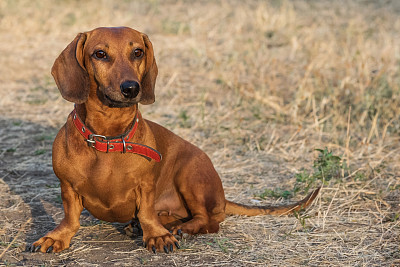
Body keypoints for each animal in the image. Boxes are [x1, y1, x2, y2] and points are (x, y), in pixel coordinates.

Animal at [29, 27, 320, 255]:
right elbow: (70, 219)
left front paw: (156, 235)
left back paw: (180, 229)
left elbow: (147, 212)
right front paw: (57, 236)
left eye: (138, 52)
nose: (131, 88)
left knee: (210, 221)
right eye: (99, 54)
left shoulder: (146, 187)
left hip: (190, 175)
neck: (109, 138)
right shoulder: (67, 187)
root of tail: (222, 196)